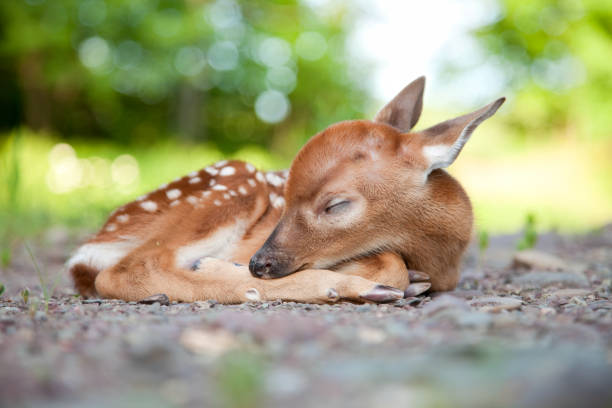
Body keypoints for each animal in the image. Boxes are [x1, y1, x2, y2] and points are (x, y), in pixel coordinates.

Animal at [68, 78, 506, 304]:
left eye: (336, 205)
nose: (258, 263)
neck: (441, 259)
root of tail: (97, 239)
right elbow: (390, 263)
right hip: (234, 182)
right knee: (125, 270)